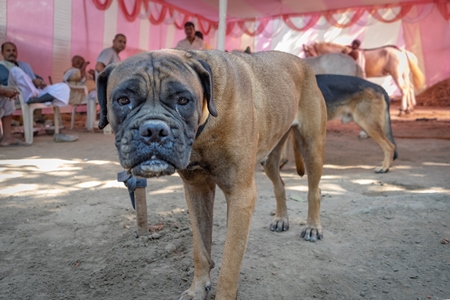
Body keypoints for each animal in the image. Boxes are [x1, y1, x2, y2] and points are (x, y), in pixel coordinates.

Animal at [96, 49, 326, 300]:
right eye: (123, 100)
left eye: (183, 100)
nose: (154, 130)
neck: (205, 127)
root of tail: (302, 63)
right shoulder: (197, 190)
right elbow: (200, 248)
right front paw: (197, 288)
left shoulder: (240, 195)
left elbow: (229, 265)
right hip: (271, 158)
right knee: (280, 184)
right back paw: (281, 218)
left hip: (312, 146)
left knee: (314, 190)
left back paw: (313, 227)